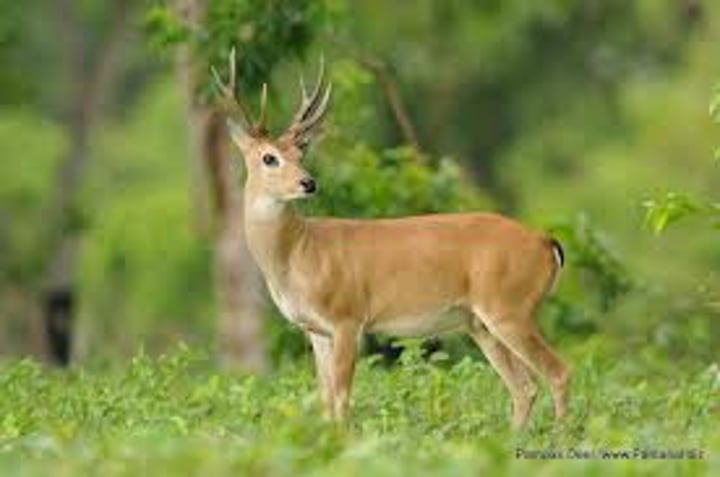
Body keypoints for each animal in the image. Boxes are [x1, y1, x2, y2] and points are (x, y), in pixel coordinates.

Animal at [212, 51, 571, 429]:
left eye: (300, 154)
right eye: (269, 157)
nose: (308, 183)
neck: (298, 253)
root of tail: (546, 242)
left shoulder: (347, 317)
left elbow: (341, 398)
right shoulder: (316, 330)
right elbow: (325, 400)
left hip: (509, 308)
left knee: (558, 372)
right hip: (482, 323)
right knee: (524, 388)